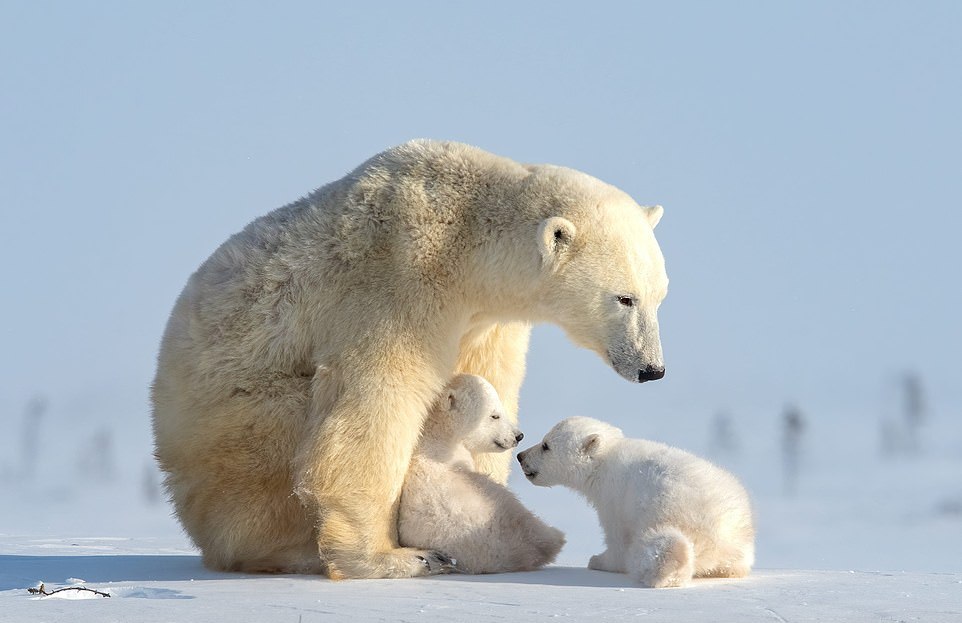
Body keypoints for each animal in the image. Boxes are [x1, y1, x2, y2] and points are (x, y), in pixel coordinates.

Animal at [512, 416, 752, 588]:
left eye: (546, 445)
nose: (521, 456)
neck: (605, 461)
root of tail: (720, 528)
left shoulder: (613, 499)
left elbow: (617, 542)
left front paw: (598, 560)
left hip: (668, 515)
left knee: (659, 546)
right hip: (739, 544)